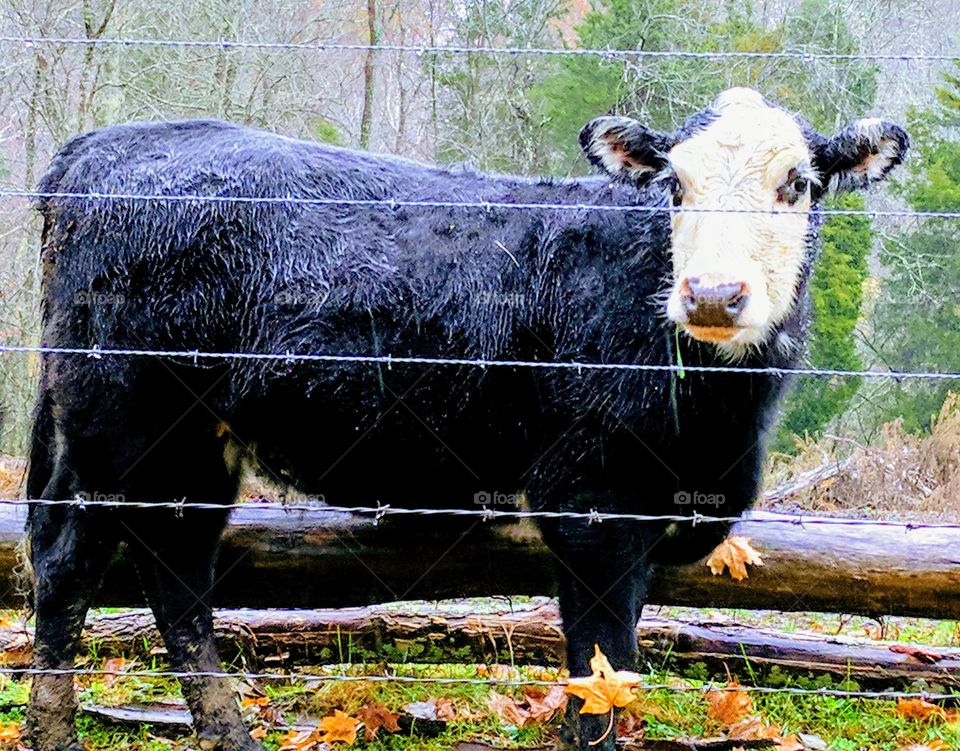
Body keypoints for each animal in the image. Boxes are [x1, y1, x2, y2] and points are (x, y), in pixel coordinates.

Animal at [26, 87, 907, 751]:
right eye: (674, 186)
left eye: (797, 183)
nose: (713, 295)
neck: (719, 433)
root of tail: (102, 144)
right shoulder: (588, 506)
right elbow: (599, 673)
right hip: (117, 422)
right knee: (69, 566)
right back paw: (53, 733)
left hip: (190, 448)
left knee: (175, 575)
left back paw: (229, 736)